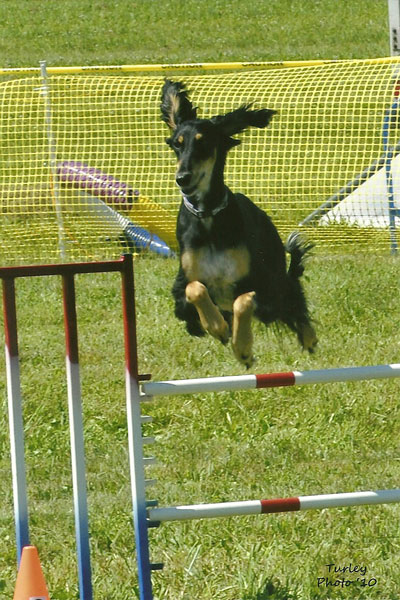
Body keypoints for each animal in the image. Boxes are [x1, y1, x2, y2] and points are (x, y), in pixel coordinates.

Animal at [161, 79, 318, 368]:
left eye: (203, 142)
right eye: (176, 144)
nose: (182, 178)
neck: (208, 216)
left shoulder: (265, 288)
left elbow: (243, 301)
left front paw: (242, 347)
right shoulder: (181, 292)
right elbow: (195, 289)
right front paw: (217, 327)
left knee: (291, 295)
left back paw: (308, 336)